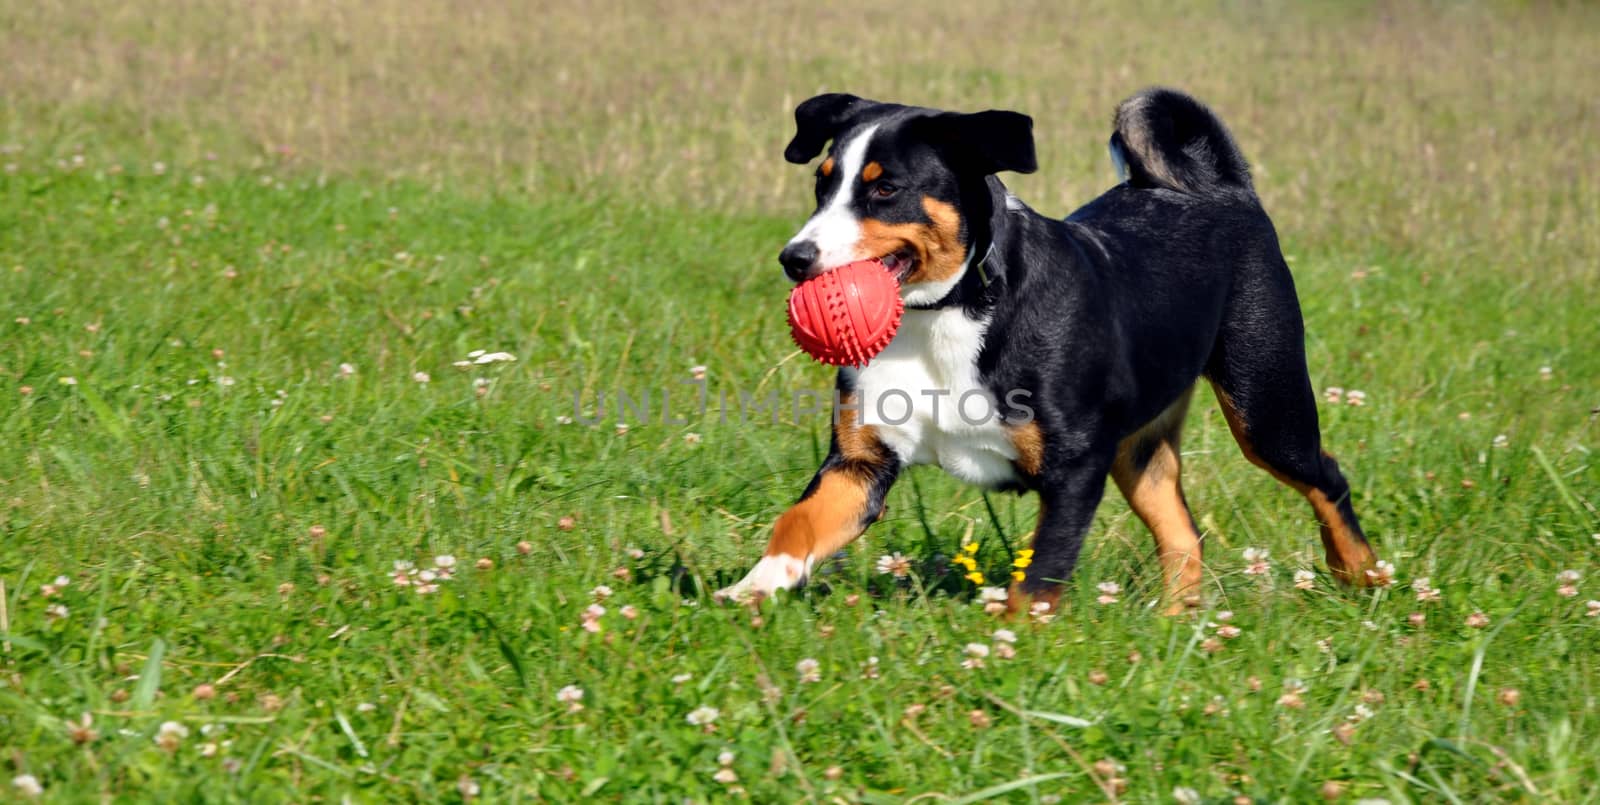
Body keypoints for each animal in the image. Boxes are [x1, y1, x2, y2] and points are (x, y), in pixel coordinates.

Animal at [720, 88, 1382, 614]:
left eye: (885, 188)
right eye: (821, 183)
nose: (795, 258)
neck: (946, 315)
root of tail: (1226, 189)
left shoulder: (1075, 467)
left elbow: (1040, 576)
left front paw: (1008, 650)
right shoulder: (861, 462)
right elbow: (798, 523)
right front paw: (751, 589)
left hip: (1265, 405)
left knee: (1326, 477)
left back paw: (1363, 576)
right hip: (1138, 452)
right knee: (1182, 533)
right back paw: (1176, 625)